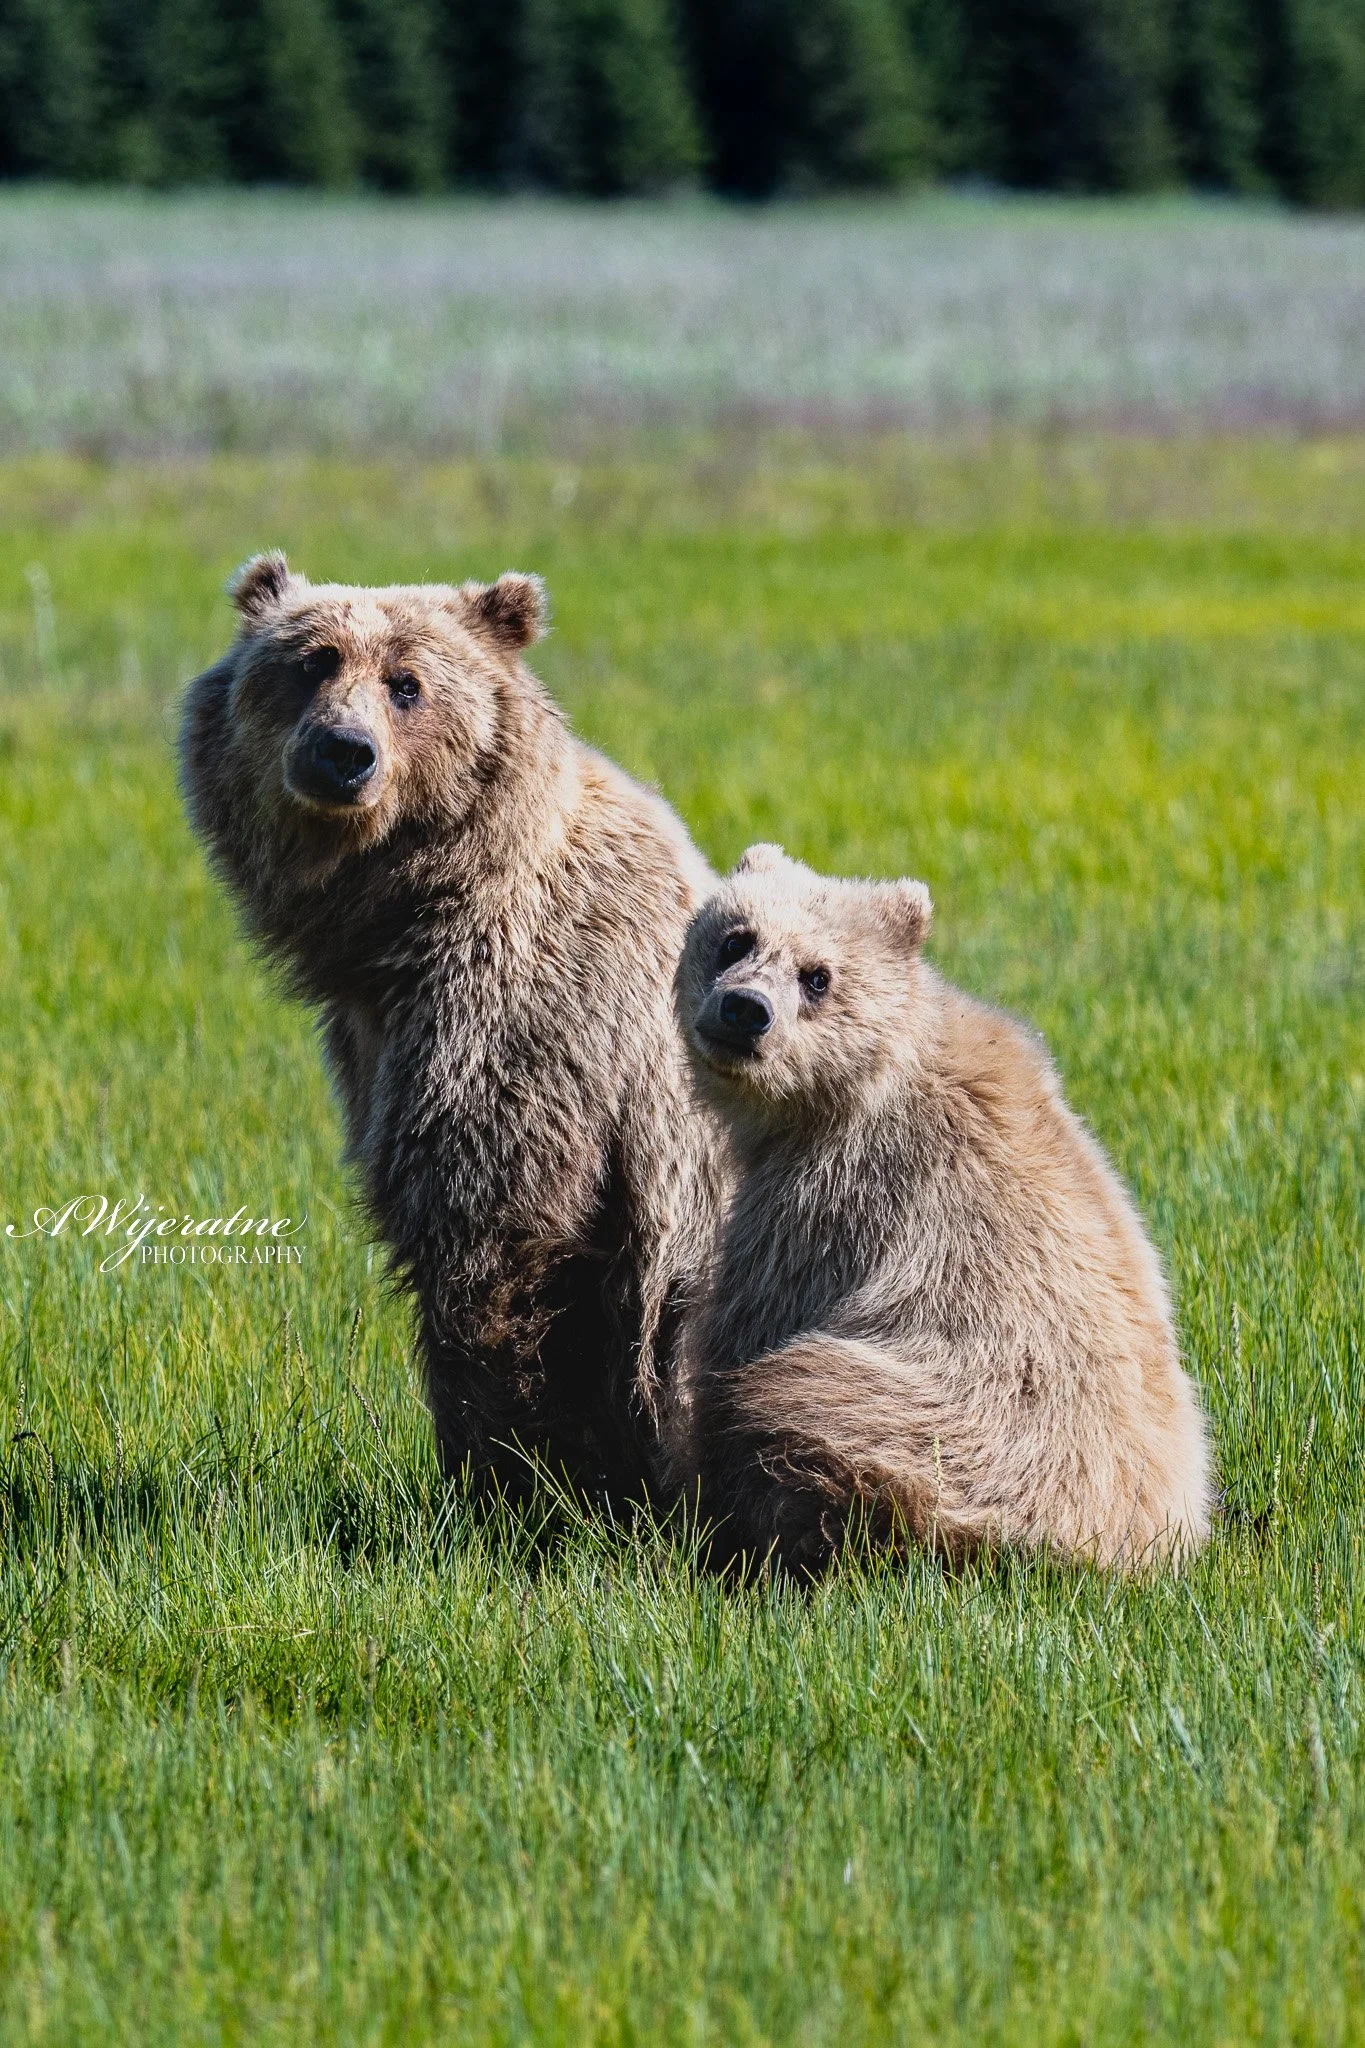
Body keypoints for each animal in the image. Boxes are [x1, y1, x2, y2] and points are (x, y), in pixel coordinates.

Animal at [180, 552, 718, 1506]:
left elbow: (495, 1235)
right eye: (311, 662)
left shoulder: (525, 1018)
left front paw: (504, 1477)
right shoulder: (369, 1041)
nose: (342, 752)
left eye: (407, 683)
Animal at [673, 844, 1213, 1576]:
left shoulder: (831, 1201)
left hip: (940, 1429)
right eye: (736, 937)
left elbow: (745, 1331)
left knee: (791, 1405)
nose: (744, 1009)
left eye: (818, 977)